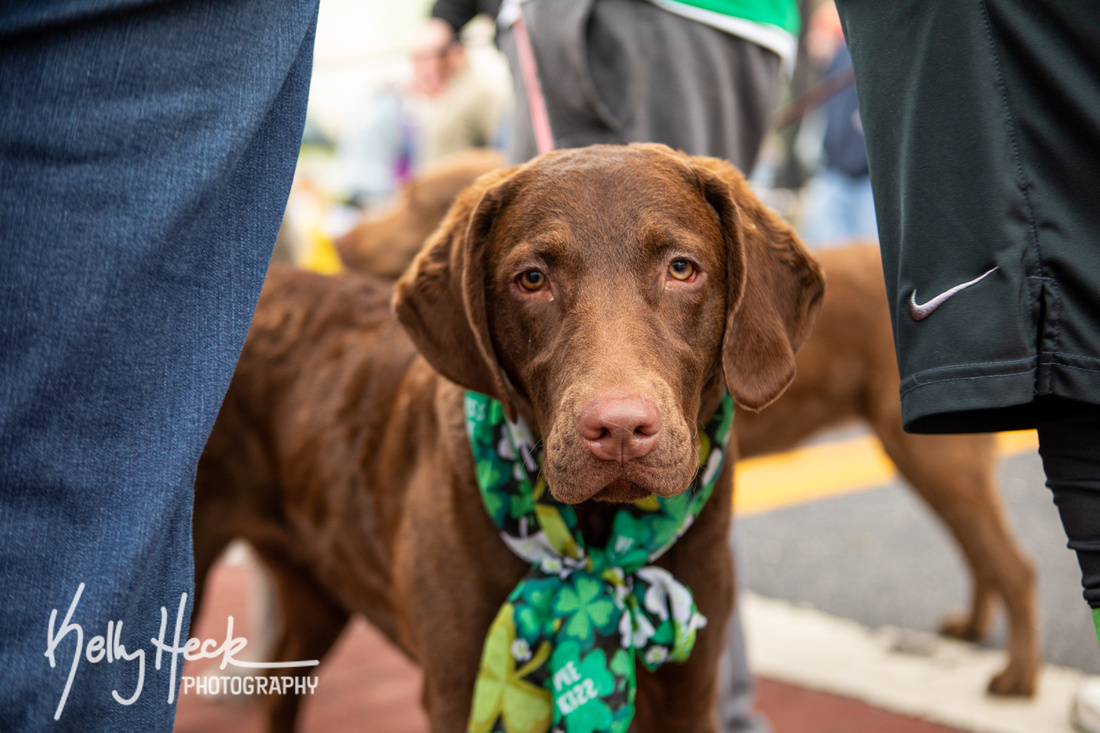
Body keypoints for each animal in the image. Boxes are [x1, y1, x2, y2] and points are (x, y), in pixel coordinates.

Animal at [191, 144, 827, 730]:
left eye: (681, 269)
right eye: (533, 279)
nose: (620, 429)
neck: (601, 543)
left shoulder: (688, 697)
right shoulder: (457, 693)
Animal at [334, 148, 1038, 695]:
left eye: (681, 268)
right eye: (531, 279)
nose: (619, 430)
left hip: (928, 455)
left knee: (1011, 562)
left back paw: (1018, 679)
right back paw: (974, 628)